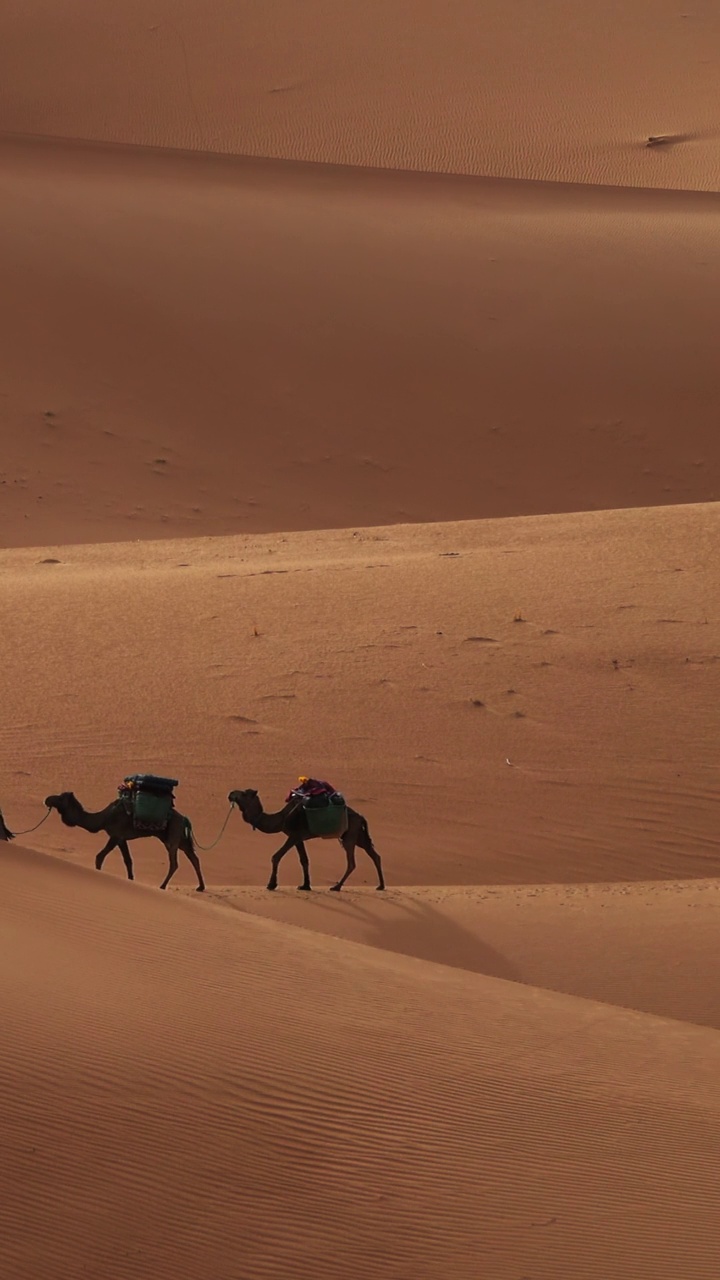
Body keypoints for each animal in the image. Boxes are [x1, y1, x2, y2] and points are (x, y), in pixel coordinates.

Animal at [44, 788, 204, 890]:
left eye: (60, 797)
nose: (47, 799)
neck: (103, 819)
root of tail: (184, 819)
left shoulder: (115, 835)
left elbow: (99, 856)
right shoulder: (122, 839)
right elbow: (128, 861)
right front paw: (131, 880)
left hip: (172, 836)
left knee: (174, 863)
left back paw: (163, 886)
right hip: (180, 839)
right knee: (194, 858)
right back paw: (200, 887)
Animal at [228, 783, 386, 896]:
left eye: (244, 793)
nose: (230, 794)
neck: (282, 819)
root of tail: (361, 816)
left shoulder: (294, 835)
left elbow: (276, 856)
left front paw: (271, 884)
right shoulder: (298, 838)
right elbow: (304, 860)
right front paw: (305, 885)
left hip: (350, 835)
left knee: (352, 862)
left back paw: (336, 886)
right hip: (358, 835)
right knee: (375, 855)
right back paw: (381, 885)